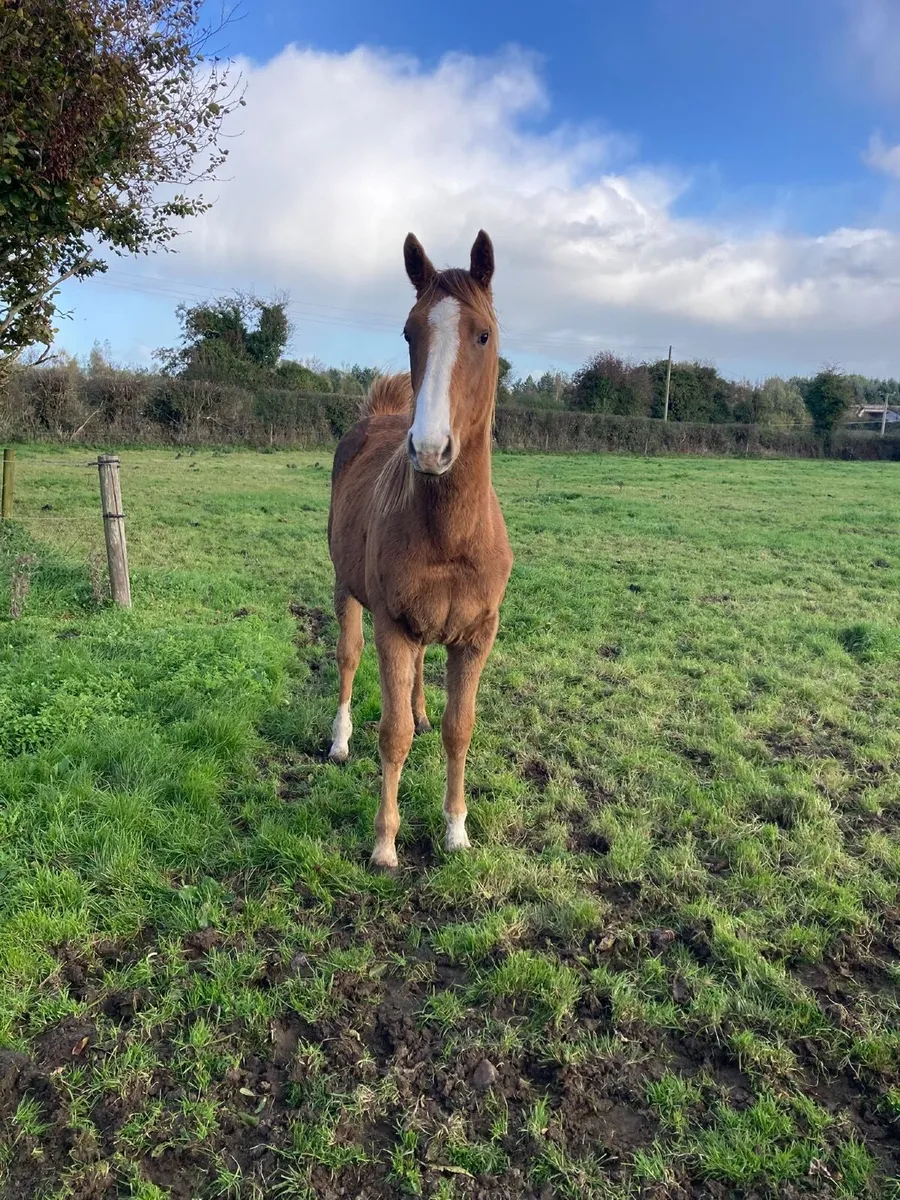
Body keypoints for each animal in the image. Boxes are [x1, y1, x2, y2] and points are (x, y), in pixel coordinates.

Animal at [326, 230, 513, 871]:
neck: (451, 536)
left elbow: (461, 729)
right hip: (345, 589)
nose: (430, 449)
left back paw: (424, 709)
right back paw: (338, 741)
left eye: (482, 334)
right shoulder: (393, 626)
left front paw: (456, 830)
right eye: (410, 332)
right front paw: (384, 843)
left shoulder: (478, 635)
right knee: (348, 658)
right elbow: (394, 733)